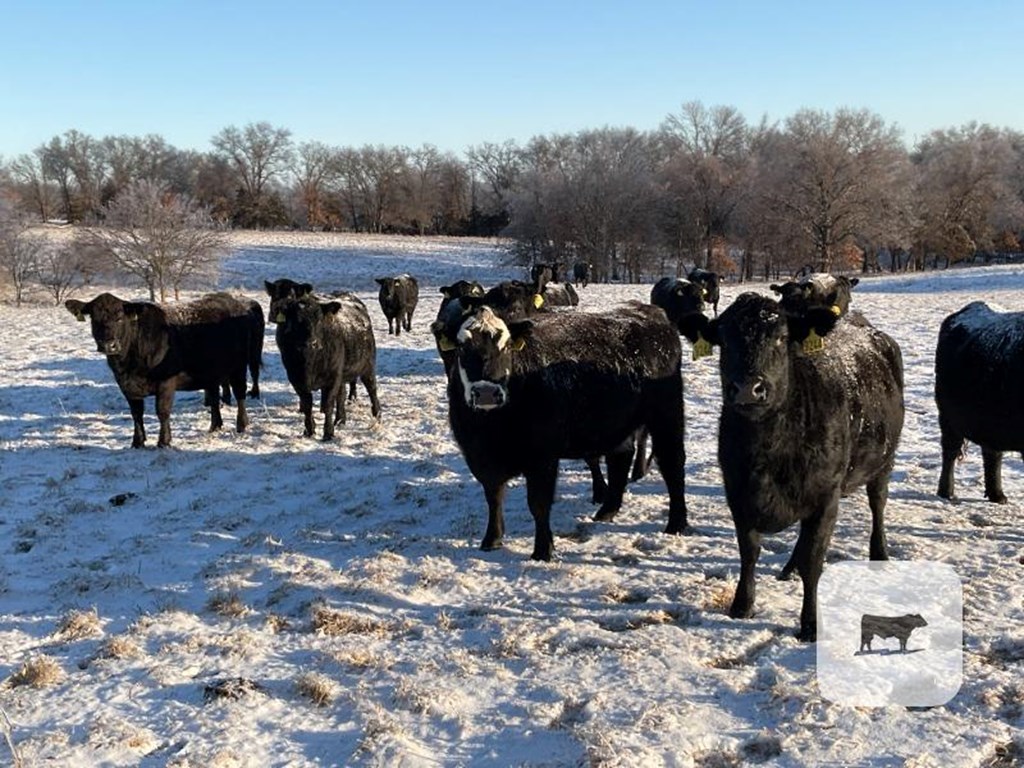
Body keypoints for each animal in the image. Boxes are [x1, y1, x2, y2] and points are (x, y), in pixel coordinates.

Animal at [64, 294, 264, 450]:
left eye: (120, 317)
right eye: (94, 319)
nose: (108, 345)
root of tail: (235, 302)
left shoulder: (166, 383)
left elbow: (162, 411)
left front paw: (164, 442)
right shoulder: (127, 386)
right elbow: (136, 414)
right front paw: (137, 442)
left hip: (239, 365)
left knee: (240, 393)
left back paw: (241, 424)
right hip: (211, 372)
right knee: (214, 398)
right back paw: (215, 426)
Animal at [272, 290, 380, 442]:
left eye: (319, 320)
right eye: (295, 321)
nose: (312, 342)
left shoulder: (332, 377)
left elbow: (328, 404)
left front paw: (328, 433)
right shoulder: (295, 377)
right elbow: (307, 404)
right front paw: (309, 430)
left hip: (367, 365)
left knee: (372, 389)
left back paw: (377, 415)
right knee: (341, 395)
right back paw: (340, 420)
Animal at [436, 301, 692, 561]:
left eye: (506, 345)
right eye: (461, 348)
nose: (487, 393)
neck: (492, 429)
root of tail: (648, 310)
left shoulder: (542, 459)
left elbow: (538, 504)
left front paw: (542, 550)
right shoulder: (480, 457)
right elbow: (494, 497)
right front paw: (492, 539)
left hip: (666, 414)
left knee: (672, 463)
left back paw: (676, 523)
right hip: (617, 423)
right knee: (620, 458)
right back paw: (607, 511)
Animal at [696, 294, 905, 643]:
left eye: (782, 337)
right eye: (723, 340)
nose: (748, 388)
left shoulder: (825, 498)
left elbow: (813, 563)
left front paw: (810, 624)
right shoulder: (737, 493)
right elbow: (749, 553)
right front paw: (742, 605)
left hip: (884, 460)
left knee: (878, 503)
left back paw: (880, 553)